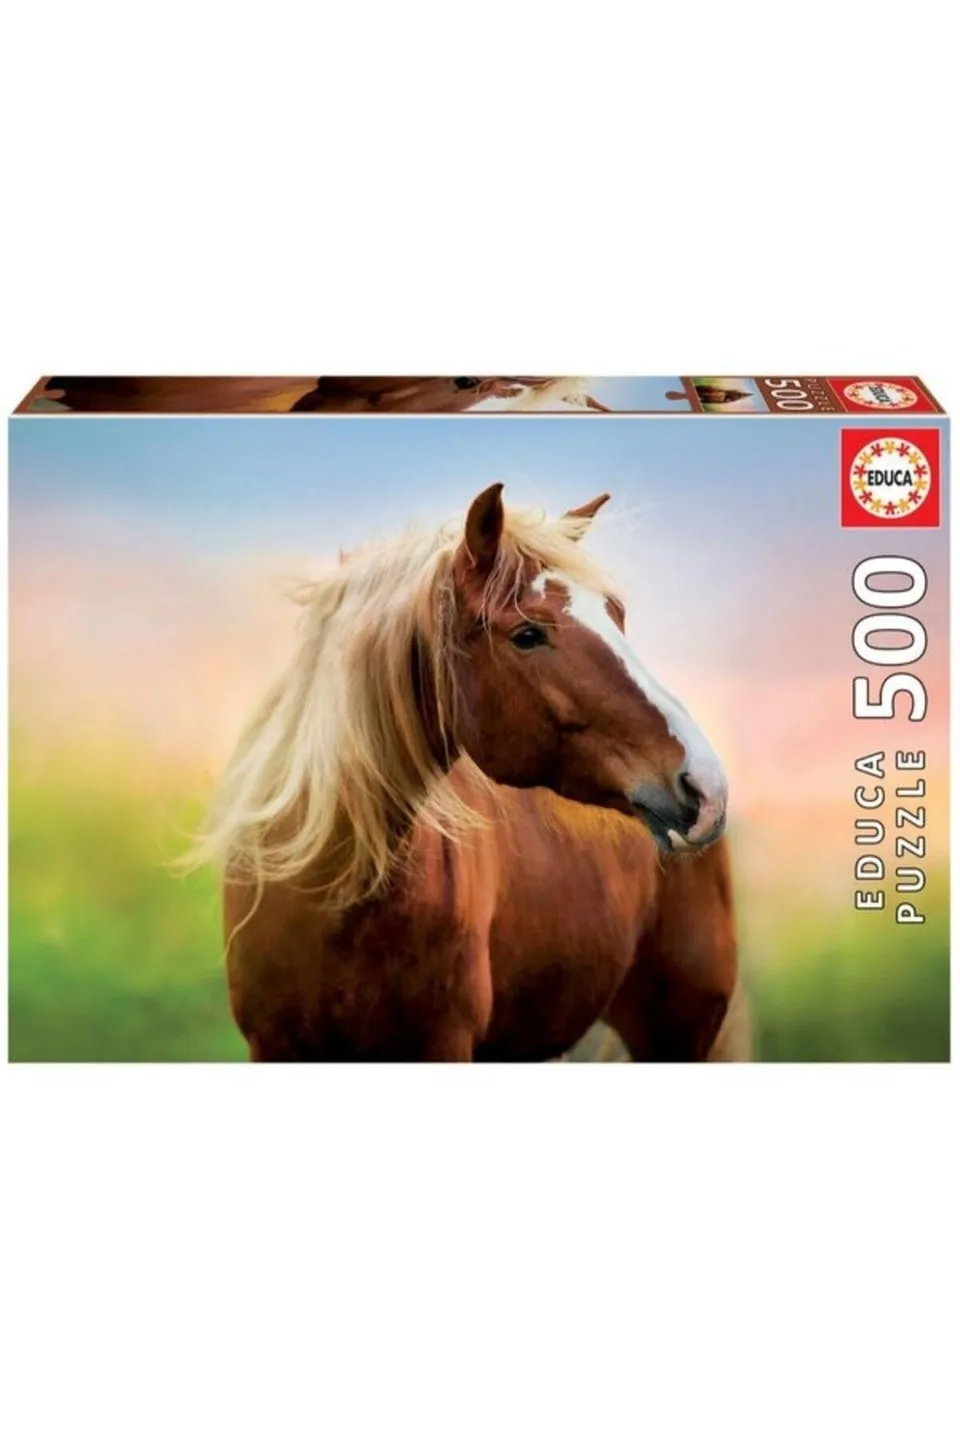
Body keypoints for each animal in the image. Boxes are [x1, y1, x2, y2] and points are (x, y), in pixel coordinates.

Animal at [202, 485, 747, 1062]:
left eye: (616, 615)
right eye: (527, 634)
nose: (705, 784)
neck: (331, 894)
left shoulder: (442, 1043)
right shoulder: (273, 1044)